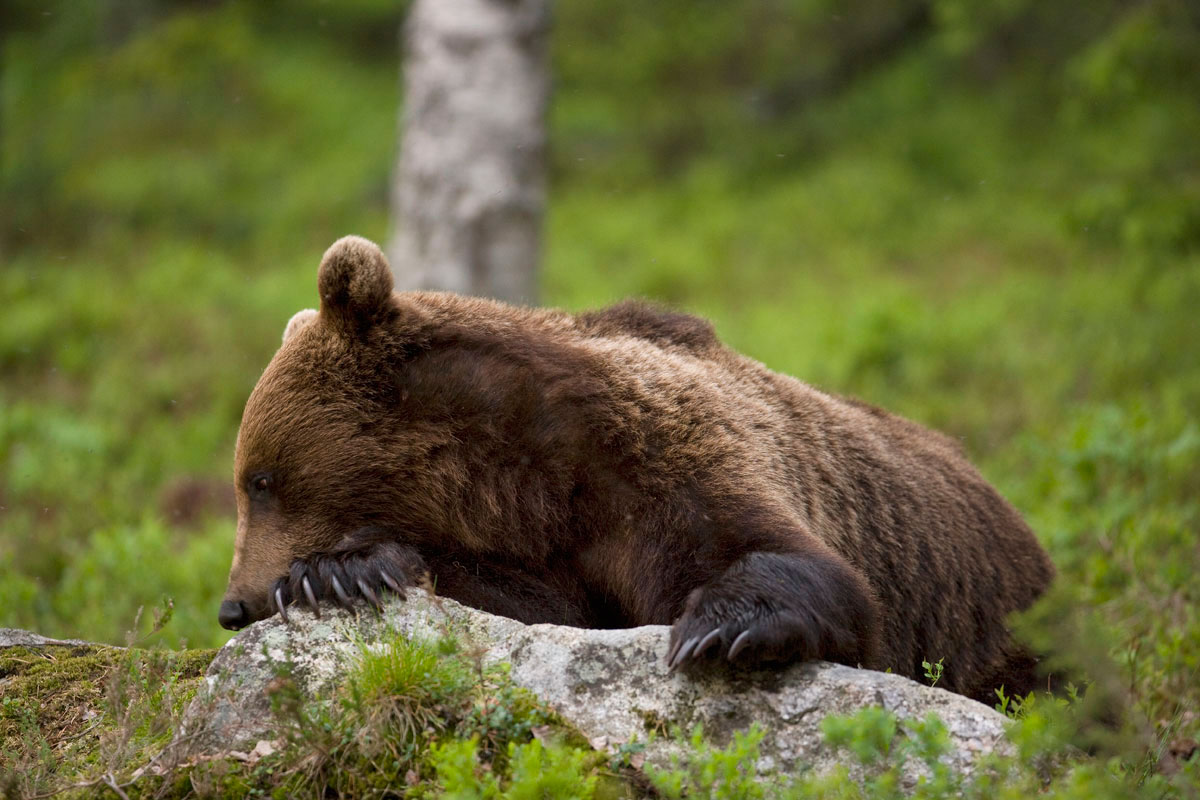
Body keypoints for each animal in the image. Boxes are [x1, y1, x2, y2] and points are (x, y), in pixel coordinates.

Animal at [220, 235, 1056, 705]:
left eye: (260, 480)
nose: (233, 604)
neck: (524, 478)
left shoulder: (664, 465)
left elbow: (788, 561)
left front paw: (721, 630)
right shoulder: (562, 547)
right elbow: (546, 610)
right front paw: (349, 569)